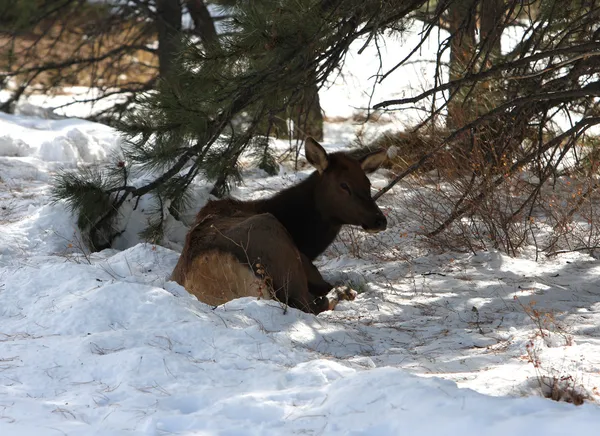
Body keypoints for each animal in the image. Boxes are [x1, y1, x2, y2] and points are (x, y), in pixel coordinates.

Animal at [170, 138, 390, 312]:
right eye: (344, 185)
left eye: (368, 183)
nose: (379, 219)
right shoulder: (306, 262)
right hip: (280, 248)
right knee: (309, 304)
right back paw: (343, 292)